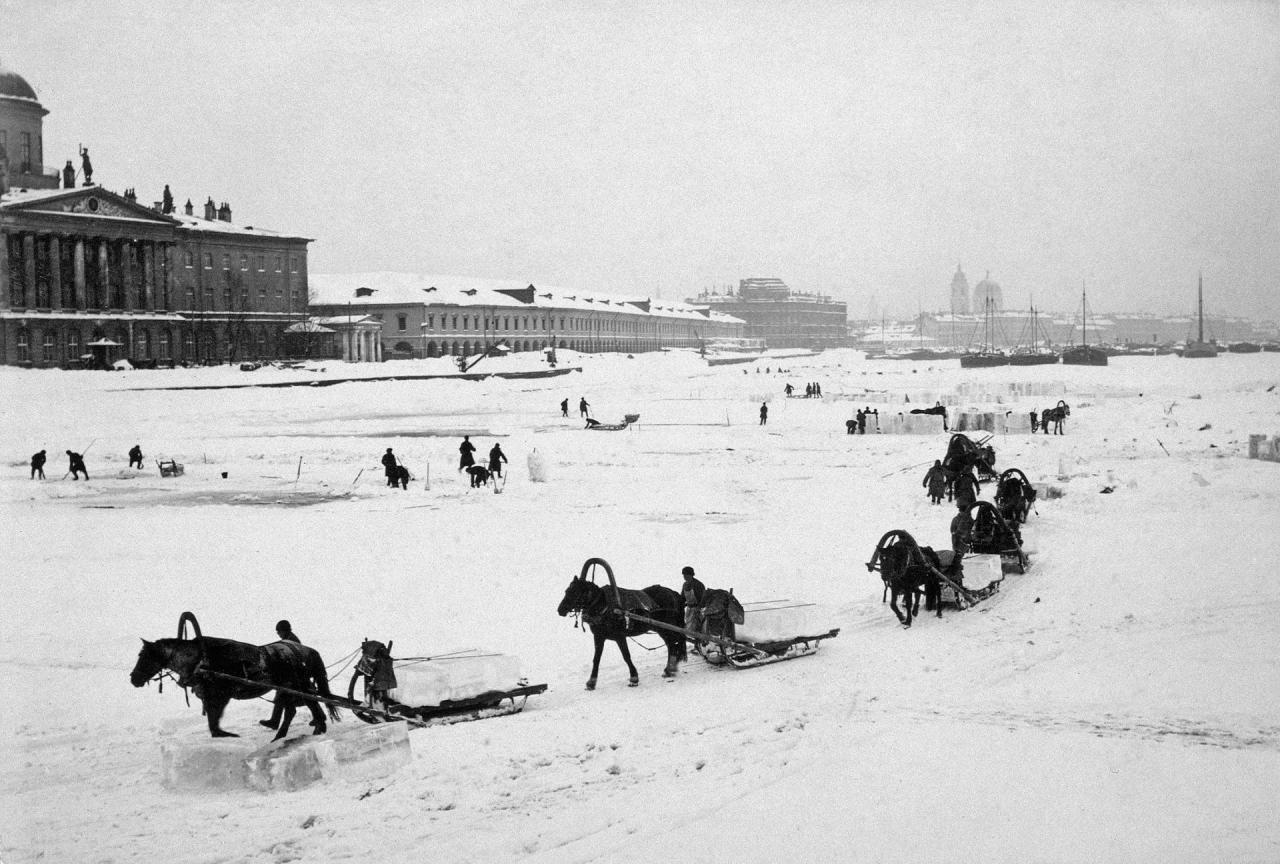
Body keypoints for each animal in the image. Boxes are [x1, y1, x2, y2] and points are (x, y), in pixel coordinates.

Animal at [132, 614, 337, 742]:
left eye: (145, 656)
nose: (133, 679)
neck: (200, 660)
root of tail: (306, 651)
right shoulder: (212, 698)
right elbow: (213, 722)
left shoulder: (219, 697)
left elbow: (214, 723)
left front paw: (227, 735)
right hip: (295, 687)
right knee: (299, 708)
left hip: (297, 686)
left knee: (302, 708)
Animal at [555, 563, 686, 691]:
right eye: (567, 591)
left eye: (576, 592)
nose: (560, 610)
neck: (605, 607)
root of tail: (672, 592)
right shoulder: (599, 637)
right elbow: (596, 658)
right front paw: (591, 682)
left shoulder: (620, 636)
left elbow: (626, 656)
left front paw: (634, 678)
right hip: (661, 629)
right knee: (671, 644)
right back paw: (669, 669)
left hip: (667, 627)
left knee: (674, 642)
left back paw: (671, 668)